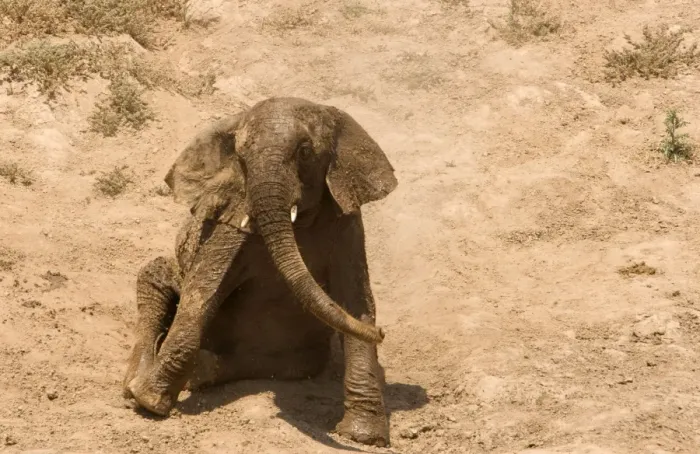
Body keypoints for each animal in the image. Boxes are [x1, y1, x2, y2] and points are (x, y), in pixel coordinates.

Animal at [122, 97, 398, 447]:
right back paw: (135, 383)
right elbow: (203, 290)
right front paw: (148, 403)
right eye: (241, 157)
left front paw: (364, 437)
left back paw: (199, 373)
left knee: (295, 364)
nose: (384, 333)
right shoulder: (234, 215)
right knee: (153, 276)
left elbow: (355, 301)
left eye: (305, 152)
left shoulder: (347, 223)